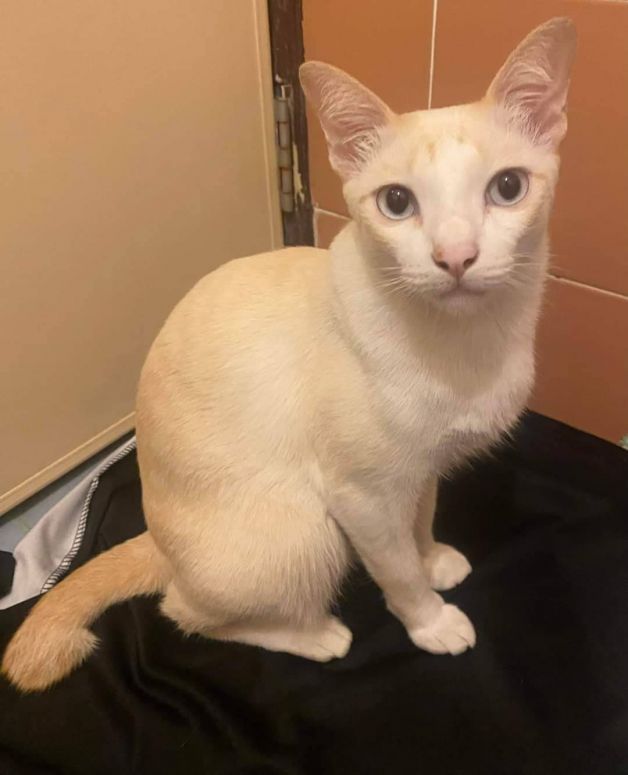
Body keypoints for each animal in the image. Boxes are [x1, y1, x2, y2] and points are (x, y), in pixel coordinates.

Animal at [3, 17, 576, 691]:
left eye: (507, 187)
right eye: (397, 203)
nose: (455, 256)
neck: (465, 344)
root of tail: (158, 540)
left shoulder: (421, 469)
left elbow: (422, 519)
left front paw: (434, 558)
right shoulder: (363, 496)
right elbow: (396, 570)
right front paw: (430, 622)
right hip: (309, 534)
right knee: (183, 611)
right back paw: (315, 635)